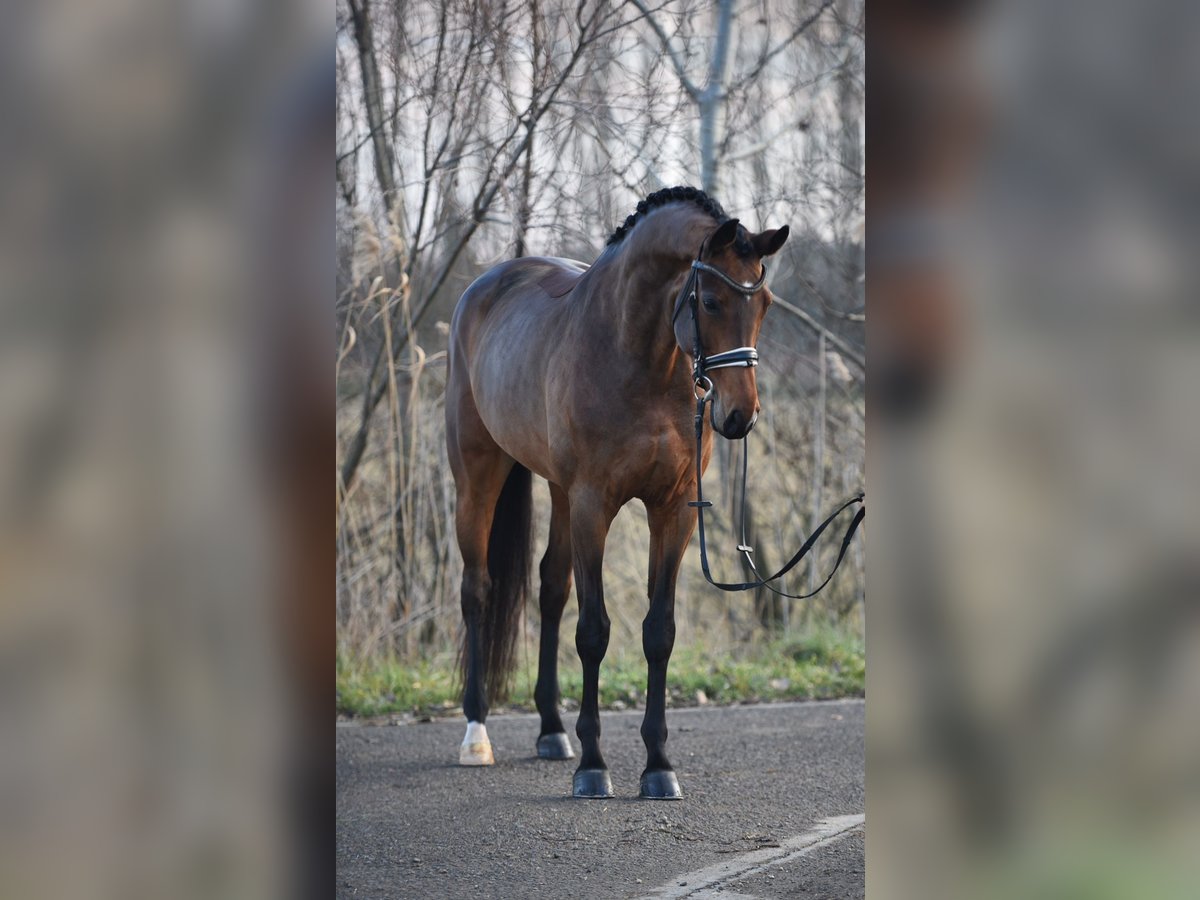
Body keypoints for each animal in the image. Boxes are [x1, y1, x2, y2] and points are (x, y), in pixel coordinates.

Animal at [446, 187, 792, 801]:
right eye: (708, 301)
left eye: (766, 303)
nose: (739, 417)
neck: (640, 360)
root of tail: (484, 286)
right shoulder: (593, 505)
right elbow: (593, 632)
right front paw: (593, 767)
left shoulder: (673, 510)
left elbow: (659, 631)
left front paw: (658, 766)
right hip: (478, 475)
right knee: (477, 590)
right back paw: (476, 735)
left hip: (557, 492)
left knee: (550, 588)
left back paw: (552, 731)